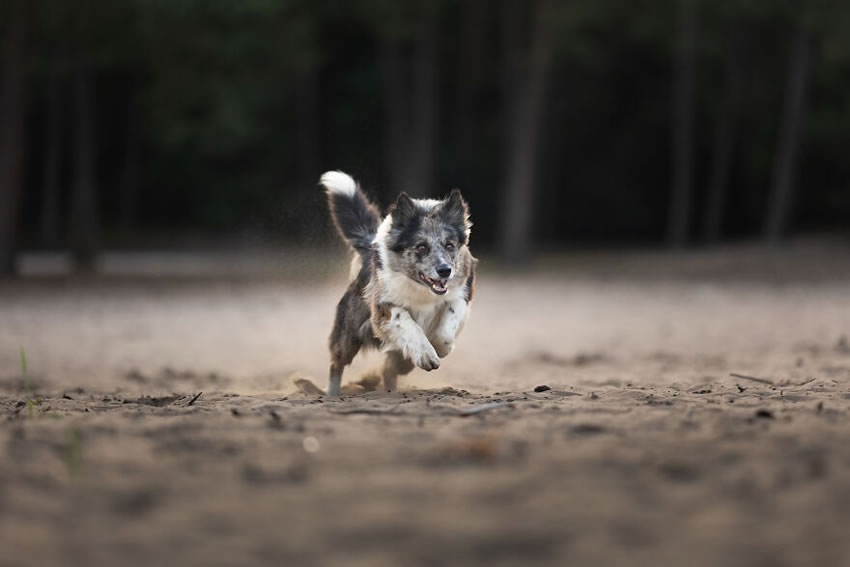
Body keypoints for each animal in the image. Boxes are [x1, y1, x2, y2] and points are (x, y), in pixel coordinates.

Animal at [320, 171, 476, 398]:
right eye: (421, 247)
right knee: (337, 363)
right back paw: (331, 393)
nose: (445, 270)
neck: (422, 289)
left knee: (390, 368)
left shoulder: (461, 293)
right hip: (349, 333)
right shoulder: (385, 307)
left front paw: (439, 348)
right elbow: (409, 324)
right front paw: (426, 354)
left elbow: (446, 329)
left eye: (449, 245)